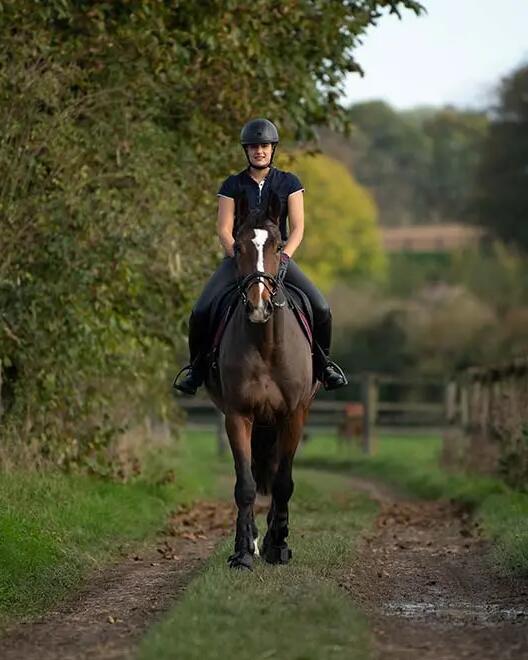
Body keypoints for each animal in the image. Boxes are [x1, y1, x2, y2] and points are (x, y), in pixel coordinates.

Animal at [205, 192, 317, 570]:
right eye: (237, 246)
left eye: (278, 245)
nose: (258, 307)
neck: (266, 345)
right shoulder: (238, 415)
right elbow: (246, 485)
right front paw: (243, 551)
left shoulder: (293, 415)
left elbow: (283, 483)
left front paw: (278, 546)